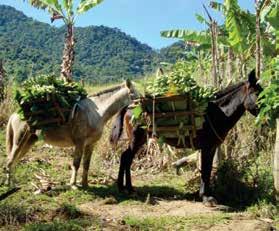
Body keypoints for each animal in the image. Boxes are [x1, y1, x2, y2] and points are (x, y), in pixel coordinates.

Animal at [4, 80, 138, 189]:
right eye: (134, 94)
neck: (97, 112)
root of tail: (15, 115)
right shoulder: (80, 143)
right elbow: (76, 164)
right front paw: (73, 185)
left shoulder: (90, 144)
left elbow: (86, 164)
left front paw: (85, 184)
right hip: (19, 141)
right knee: (10, 161)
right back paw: (9, 185)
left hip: (28, 142)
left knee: (14, 161)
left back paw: (14, 184)